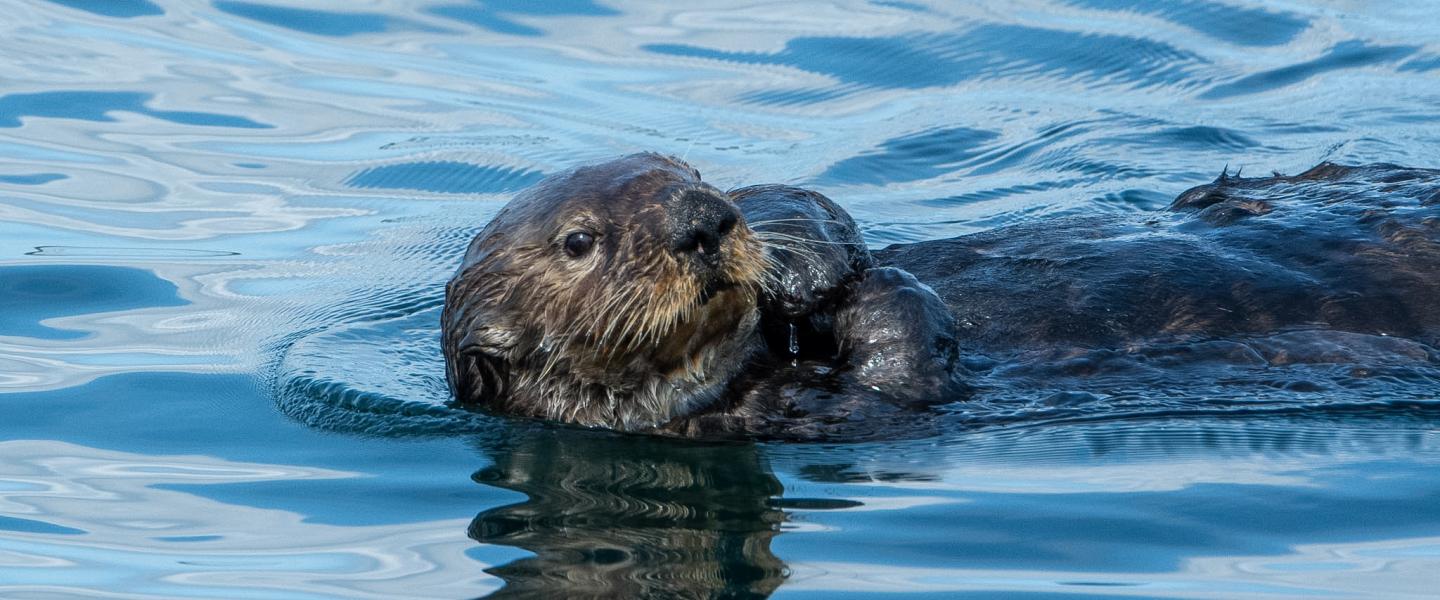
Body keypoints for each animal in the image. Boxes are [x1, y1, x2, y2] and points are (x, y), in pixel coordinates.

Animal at [443, 155, 1440, 439]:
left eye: (689, 173)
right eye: (579, 242)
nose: (703, 219)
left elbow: (811, 202)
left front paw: (798, 258)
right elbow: (906, 370)